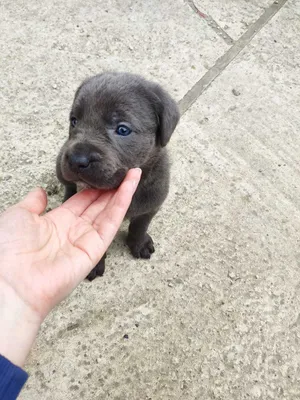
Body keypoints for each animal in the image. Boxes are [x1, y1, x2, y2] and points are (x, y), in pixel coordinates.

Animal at [56, 72, 179, 280]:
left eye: (122, 129)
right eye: (74, 121)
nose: (76, 159)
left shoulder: (151, 205)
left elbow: (140, 226)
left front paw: (139, 243)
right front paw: (95, 264)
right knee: (69, 186)